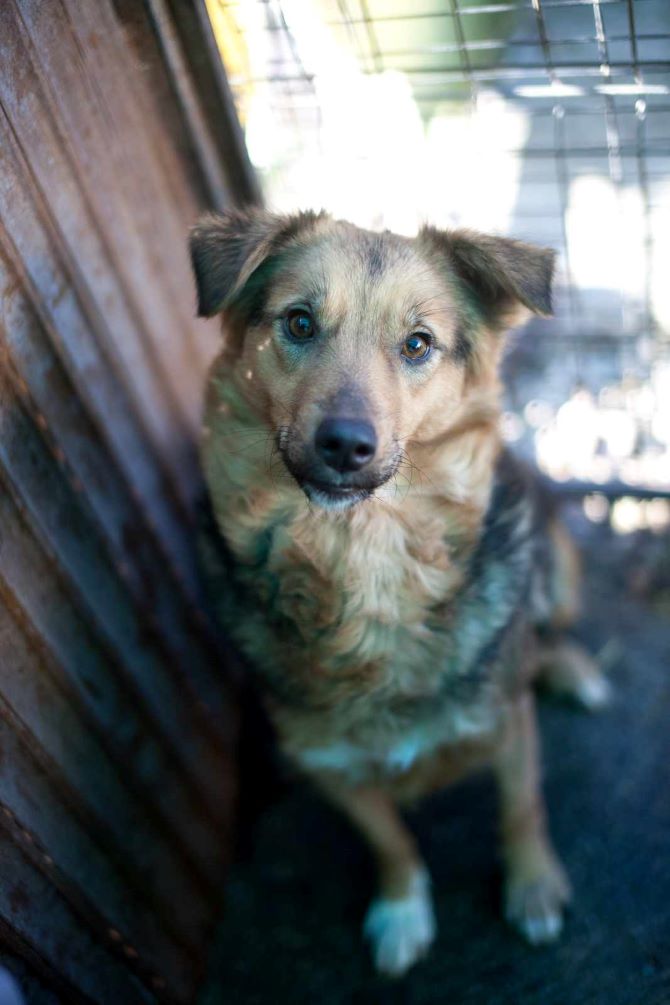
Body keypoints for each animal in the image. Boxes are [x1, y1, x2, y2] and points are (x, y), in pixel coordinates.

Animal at [188, 210, 606, 972]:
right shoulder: (327, 763)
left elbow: (522, 807)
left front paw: (533, 888)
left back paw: (569, 668)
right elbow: (390, 841)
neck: (364, 553)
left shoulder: (507, 720)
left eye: (418, 344)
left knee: (545, 627)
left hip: (557, 562)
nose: (345, 444)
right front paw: (402, 911)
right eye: (299, 322)